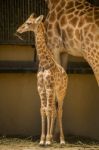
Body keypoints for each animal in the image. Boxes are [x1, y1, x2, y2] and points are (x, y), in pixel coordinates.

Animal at [16, 14, 68, 145]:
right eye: (26, 21)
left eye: (29, 23)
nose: (19, 29)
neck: (44, 63)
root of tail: (66, 74)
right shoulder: (41, 88)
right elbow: (43, 110)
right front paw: (42, 139)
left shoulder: (49, 87)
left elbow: (48, 110)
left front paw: (47, 141)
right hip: (54, 92)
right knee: (54, 110)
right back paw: (53, 139)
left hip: (61, 92)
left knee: (59, 110)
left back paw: (62, 140)